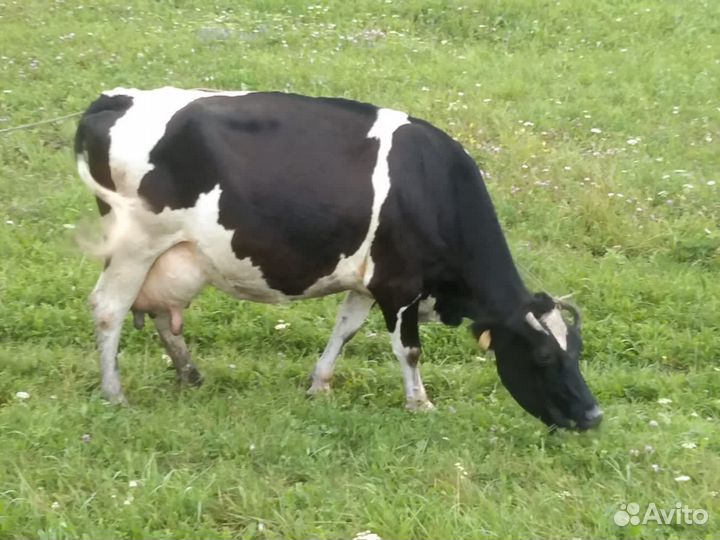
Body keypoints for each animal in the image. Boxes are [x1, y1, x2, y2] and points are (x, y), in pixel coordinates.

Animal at [74, 86, 602, 430]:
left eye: (577, 351)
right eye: (543, 356)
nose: (594, 415)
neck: (433, 188)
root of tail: (114, 99)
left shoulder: (368, 283)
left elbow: (344, 330)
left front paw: (319, 385)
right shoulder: (399, 285)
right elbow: (408, 350)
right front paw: (420, 404)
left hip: (174, 254)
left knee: (162, 314)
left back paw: (189, 374)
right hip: (135, 244)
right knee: (108, 309)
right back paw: (114, 393)